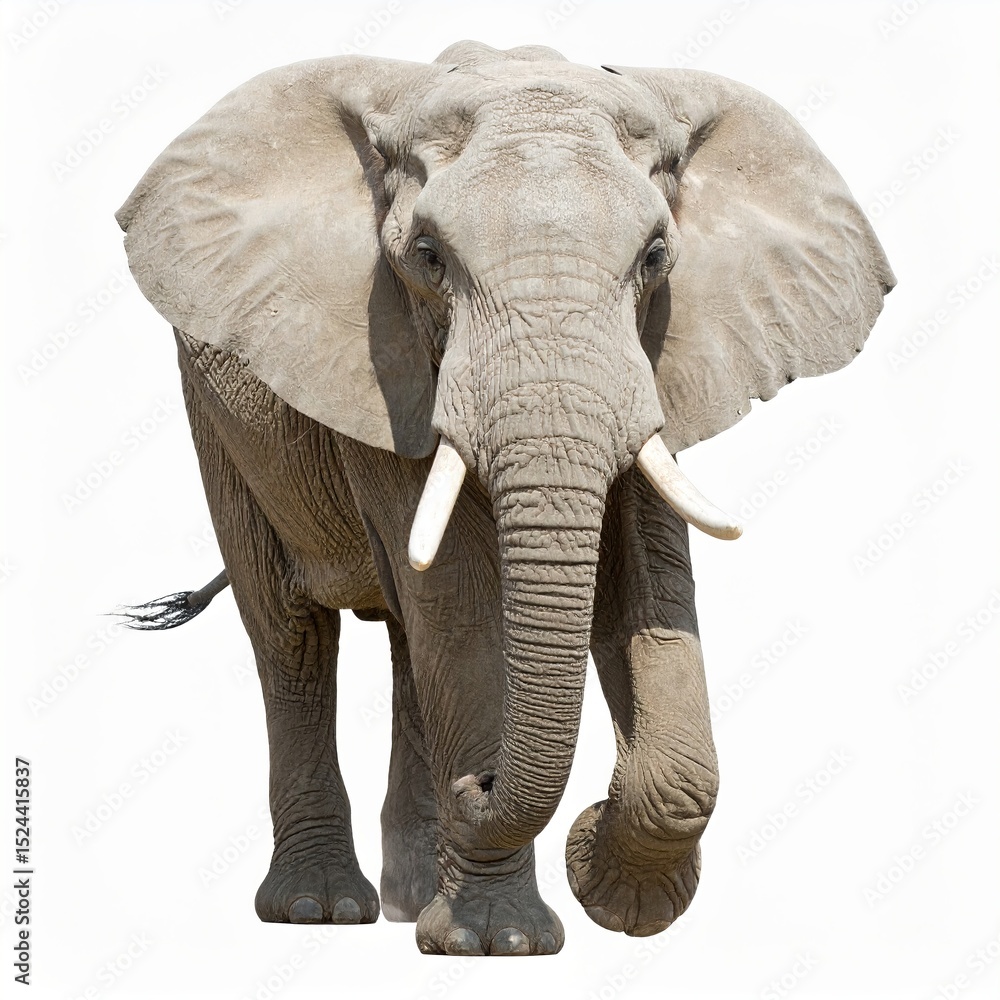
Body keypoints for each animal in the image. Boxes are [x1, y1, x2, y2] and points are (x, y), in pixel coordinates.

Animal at [116, 40, 894, 956]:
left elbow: (646, 589)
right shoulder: (391, 363)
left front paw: (613, 896)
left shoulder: (655, 359)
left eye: (655, 258)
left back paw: (409, 900)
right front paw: (499, 944)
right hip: (220, 421)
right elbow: (460, 606)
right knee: (293, 637)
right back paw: (319, 909)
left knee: (406, 644)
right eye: (427, 256)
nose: (477, 783)